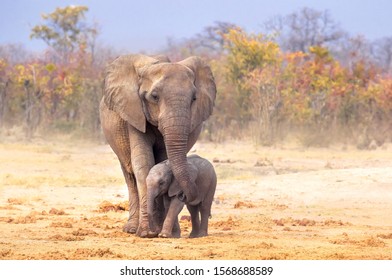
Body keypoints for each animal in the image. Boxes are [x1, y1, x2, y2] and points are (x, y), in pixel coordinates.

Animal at [98, 54, 214, 236]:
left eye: (194, 98)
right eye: (154, 96)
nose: (184, 196)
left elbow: (164, 159)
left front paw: (170, 233)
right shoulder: (134, 112)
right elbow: (143, 163)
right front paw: (147, 233)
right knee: (130, 175)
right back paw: (131, 229)